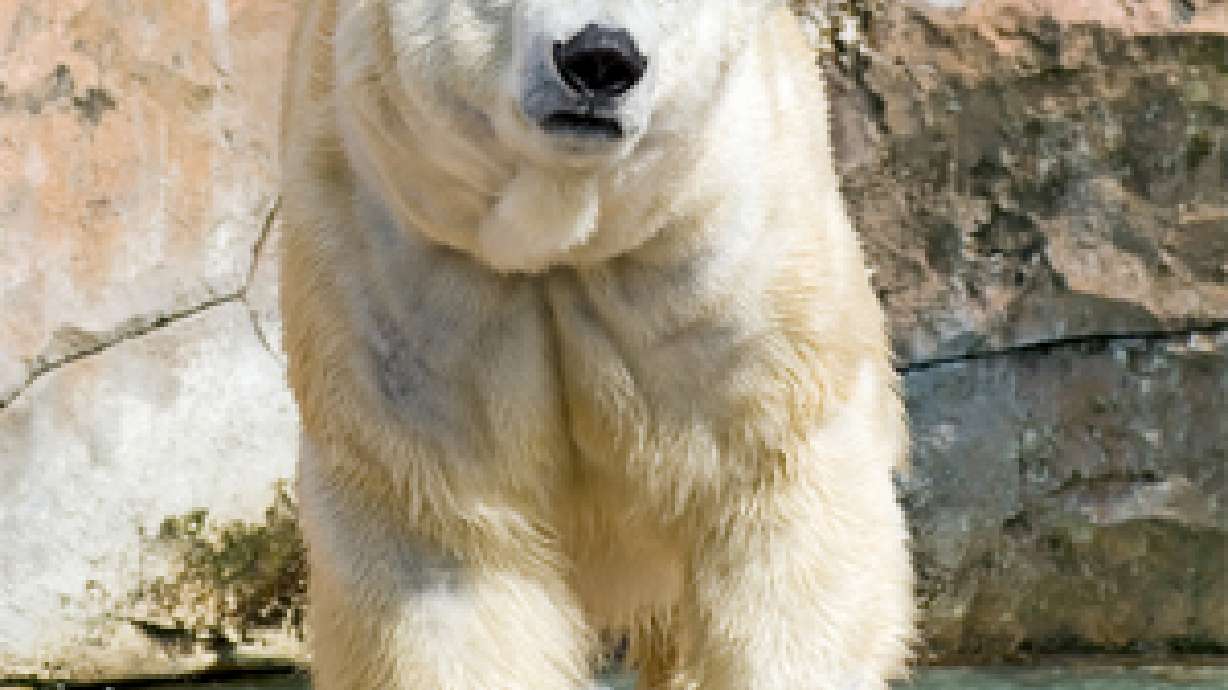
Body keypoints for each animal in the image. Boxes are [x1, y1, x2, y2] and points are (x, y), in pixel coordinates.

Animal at [279, 0, 914, 688]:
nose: (600, 60)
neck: (567, 242)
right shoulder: (399, 265)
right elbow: (445, 554)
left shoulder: (724, 254)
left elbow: (775, 496)